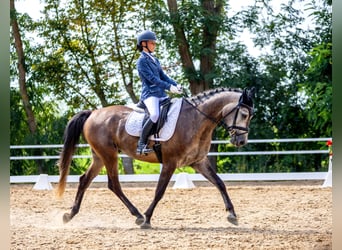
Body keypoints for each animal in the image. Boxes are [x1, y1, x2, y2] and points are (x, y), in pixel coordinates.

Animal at [55, 87, 254, 229]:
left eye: (250, 116)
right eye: (244, 114)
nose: (241, 141)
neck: (195, 120)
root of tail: (93, 113)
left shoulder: (198, 162)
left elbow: (220, 183)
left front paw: (232, 215)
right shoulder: (170, 163)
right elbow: (159, 191)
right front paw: (147, 219)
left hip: (99, 157)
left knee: (85, 180)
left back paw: (69, 215)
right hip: (108, 155)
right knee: (114, 184)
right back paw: (138, 216)